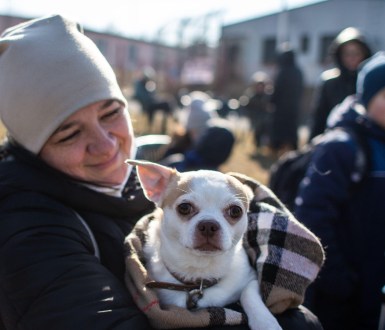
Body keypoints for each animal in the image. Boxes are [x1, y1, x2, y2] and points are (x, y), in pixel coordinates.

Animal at [127, 160, 280, 330]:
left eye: (235, 211)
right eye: (184, 207)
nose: (208, 225)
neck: (200, 272)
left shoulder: (250, 278)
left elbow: (249, 294)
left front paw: (265, 322)